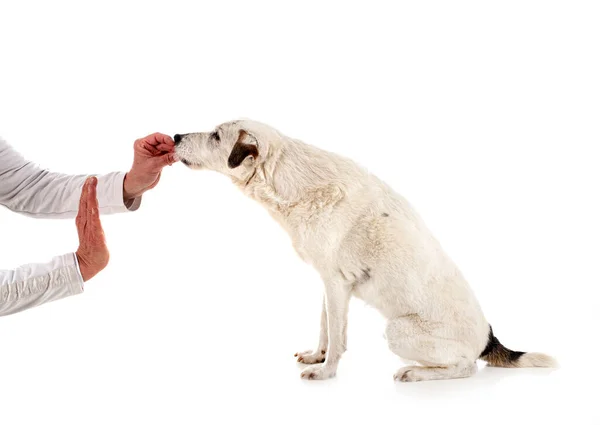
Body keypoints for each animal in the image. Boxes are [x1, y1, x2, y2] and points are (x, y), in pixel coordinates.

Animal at [175, 119, 556, 380]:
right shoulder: (328, 284)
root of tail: (488, 337)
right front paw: (317, 356)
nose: (176, 137)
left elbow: (337, 336)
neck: (292, 182)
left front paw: (326, 372)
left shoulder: (335, 283)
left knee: (465, 367)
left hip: (398, 332)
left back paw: (416, 372)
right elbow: (325, 328)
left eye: (216, 136)